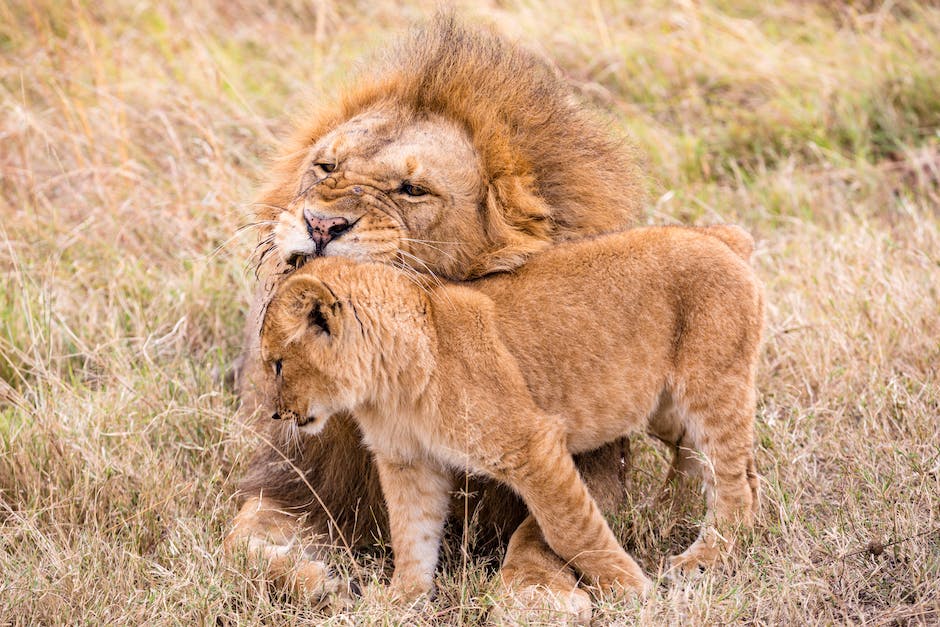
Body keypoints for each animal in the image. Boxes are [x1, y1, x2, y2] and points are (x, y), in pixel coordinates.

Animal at [228, 17, 648, 620]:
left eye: (412, 189)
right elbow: (239, 543)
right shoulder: (296, 477)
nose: (321, 224)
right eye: (325, 167)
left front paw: (536, 596)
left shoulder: (594, 463)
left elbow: (551, 528)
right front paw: (316, 580)